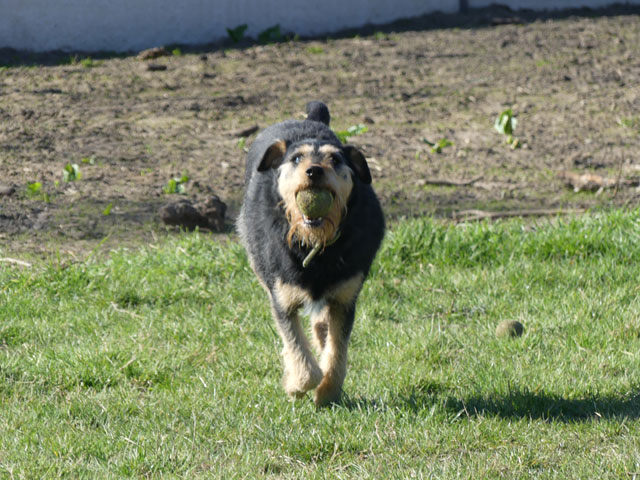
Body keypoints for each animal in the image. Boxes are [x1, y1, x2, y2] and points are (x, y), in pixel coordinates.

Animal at [236, 100, 382, 404]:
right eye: (296, 159)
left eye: (335, 160)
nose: (314, 170)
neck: (315, 244)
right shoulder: (282, 297)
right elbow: (297, 349)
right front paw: (296, 384)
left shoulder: (345, 298)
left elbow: (337, 352)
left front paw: (327, 392)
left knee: (322, 326)